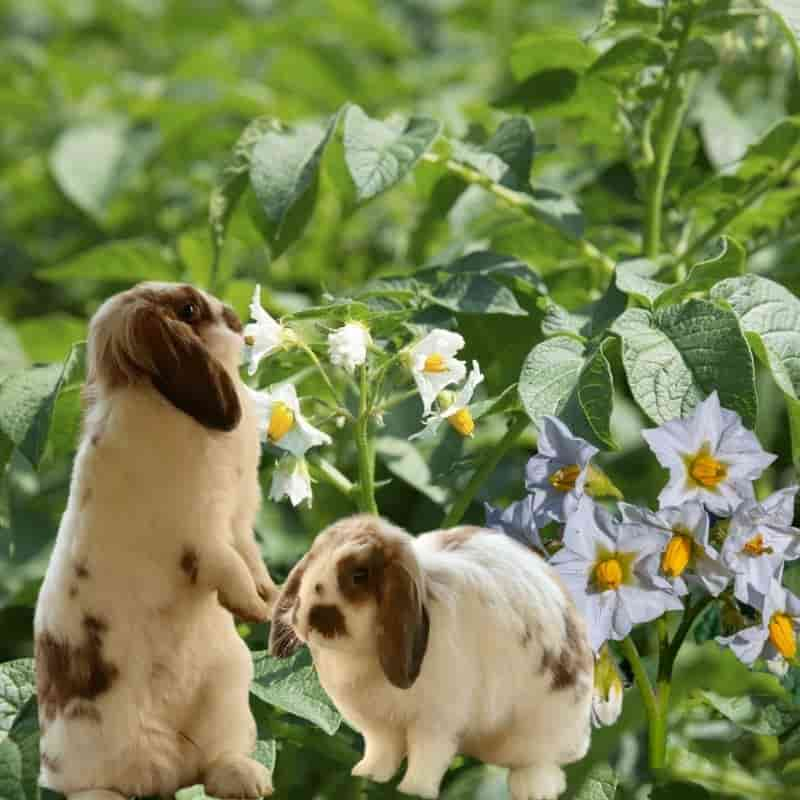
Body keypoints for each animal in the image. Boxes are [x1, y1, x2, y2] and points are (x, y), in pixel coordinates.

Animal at [34, 284, 276, 796]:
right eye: (188, 310)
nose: (234, 319)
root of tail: (168, 772)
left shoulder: (238, 521)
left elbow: (250, 557)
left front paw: (271, 597)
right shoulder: (203, 535)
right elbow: (229, 566)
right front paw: (252, 608)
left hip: (230, 692)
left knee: (210, 766)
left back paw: (248, 780)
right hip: (85, 744)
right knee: (88, 785)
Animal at [268, 516, 592, 796]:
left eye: (359, 576)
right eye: (312, 562)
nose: (307, 619)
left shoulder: (435, 723)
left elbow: (427, 757)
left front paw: (414, 790)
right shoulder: (378, 727)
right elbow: (382, 751)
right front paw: (368, 774)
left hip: (541, 729)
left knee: (543, 763)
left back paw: (533, 789)